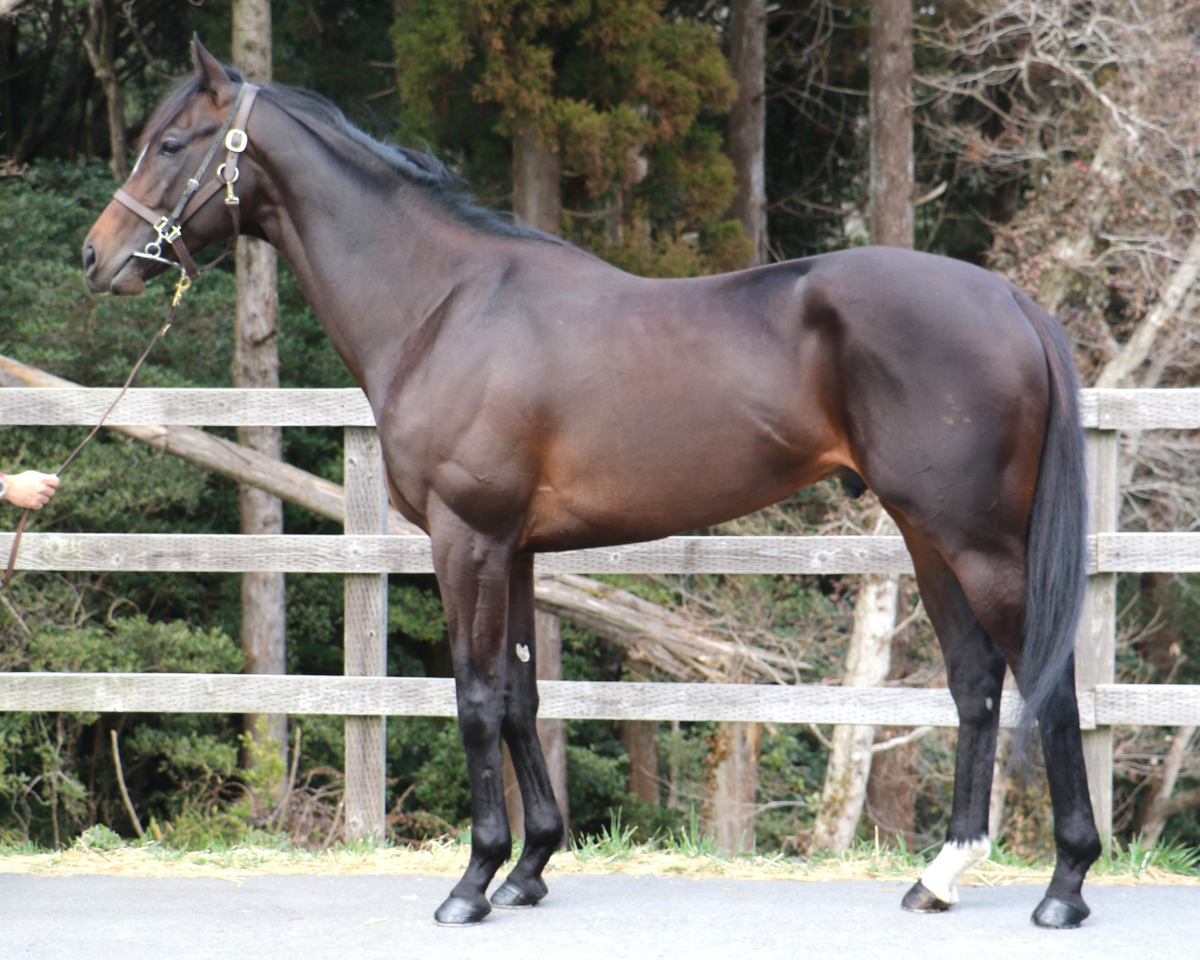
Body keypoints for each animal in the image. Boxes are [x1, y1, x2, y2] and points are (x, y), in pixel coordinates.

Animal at [83, 37, 1100, 929]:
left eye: (171, 144)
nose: (98, 257)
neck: (442, 305)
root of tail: (1009, 298)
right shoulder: (517, 551)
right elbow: (523, 696)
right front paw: (530, 865)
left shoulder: (466, 537)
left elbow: (475, 697)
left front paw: (473, 881)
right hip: (928, 535)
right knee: (975, 682)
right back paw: (941, 876)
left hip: (977, 540)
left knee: (1045, 680)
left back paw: (1065, 886)